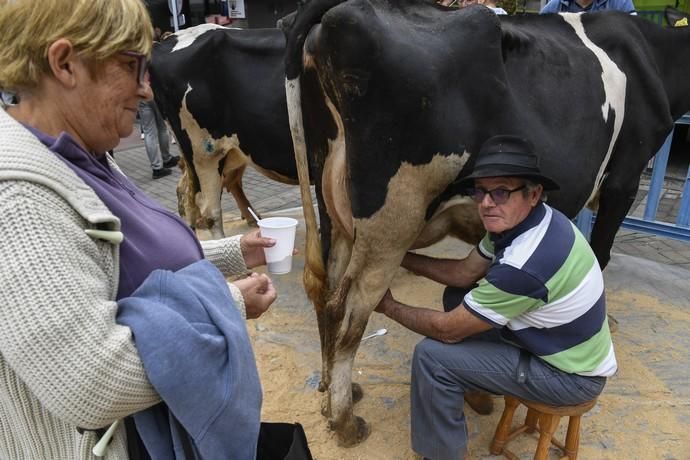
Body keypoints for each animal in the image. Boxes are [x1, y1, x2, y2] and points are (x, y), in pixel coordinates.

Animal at [282, 0, 688, 446]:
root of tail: (340, 12)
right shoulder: (624, 180)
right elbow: (600, 253)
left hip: (332, 206)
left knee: (325, 289)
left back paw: (332, 397)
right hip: (391, 218)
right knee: (349, 308)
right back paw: (346, 422)